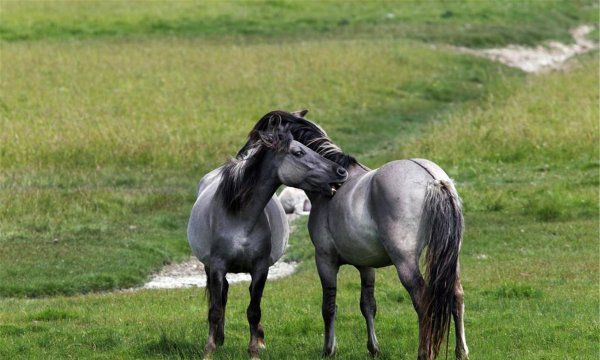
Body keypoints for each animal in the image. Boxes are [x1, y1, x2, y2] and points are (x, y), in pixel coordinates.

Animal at [188, 119, 346, 358]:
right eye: (298, 152)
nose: (341, 171)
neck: (239, 217)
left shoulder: (260, 268)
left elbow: (254, 310)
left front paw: (254, 350)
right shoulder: (216, 267)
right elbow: (215, 309)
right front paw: (209, 350)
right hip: (209, 267)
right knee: (222, 296)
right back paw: (219, 337)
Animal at [244, 109, 468, 360]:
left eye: (259, 139)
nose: (243, 158)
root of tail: (433, 179)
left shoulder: (325, 260)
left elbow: (329, 306)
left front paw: (329, 349)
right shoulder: (366, 265)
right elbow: (368, 305)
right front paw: (373, 348)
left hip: (406, 261)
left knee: (422, 299)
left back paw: (424, 352)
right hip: (450, 257)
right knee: (456, 295)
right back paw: (461, 352)